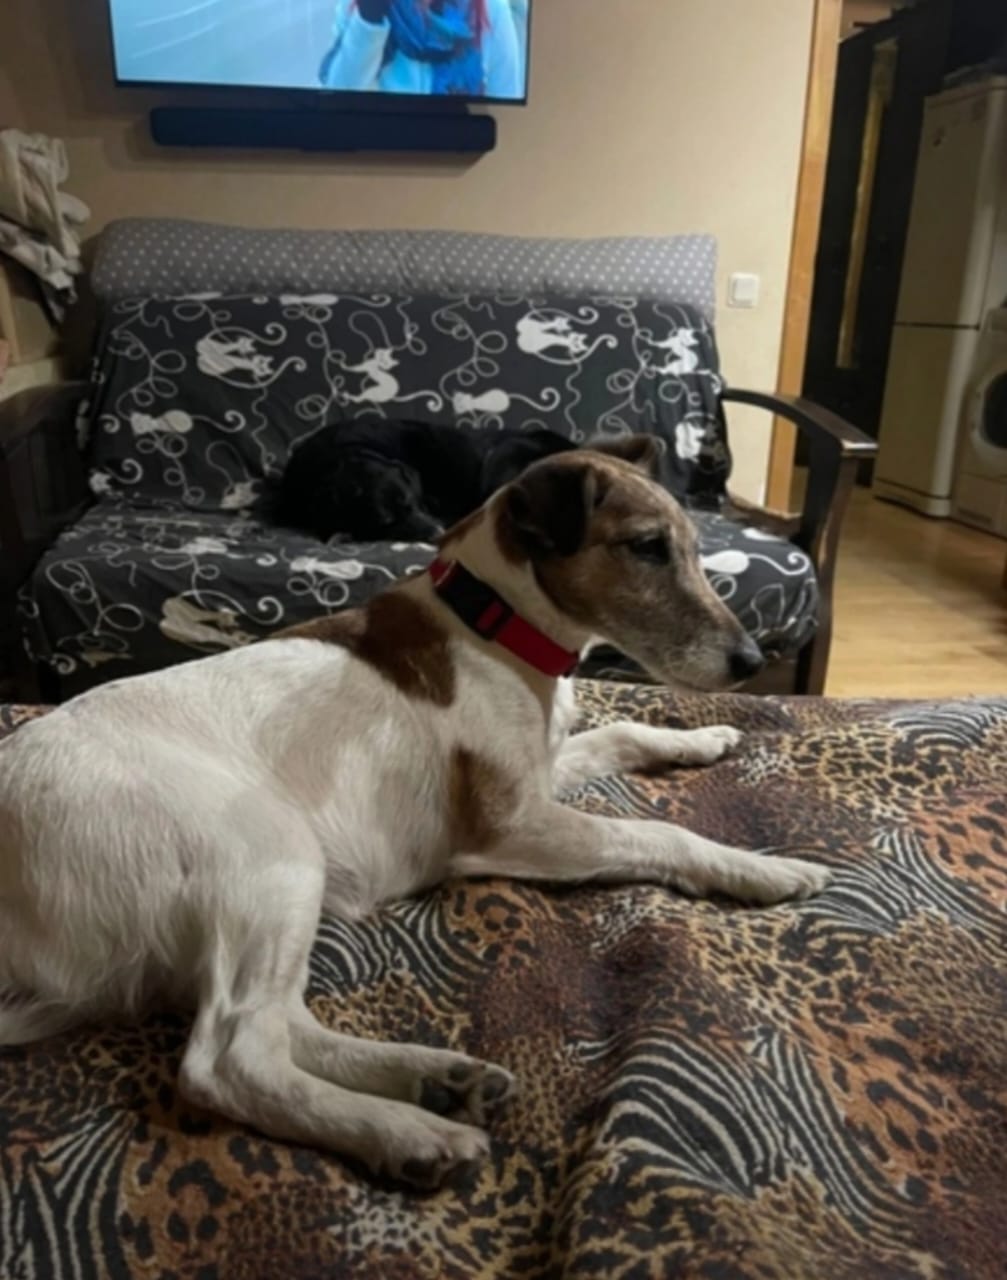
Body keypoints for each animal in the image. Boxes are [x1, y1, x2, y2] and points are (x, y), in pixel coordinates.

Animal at [0, 435, 830, 1189]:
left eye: (690, 546)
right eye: (647, 548)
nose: (752, 662)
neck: (493, 626)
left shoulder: (541, 774)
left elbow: (621, 730)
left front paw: (702, 738)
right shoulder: (509, 826)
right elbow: (661, 831)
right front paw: (761, 868)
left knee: (281, 1024)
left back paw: (438, 1082)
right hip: (270, 855)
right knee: (230, 1059)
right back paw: (406, 1132)